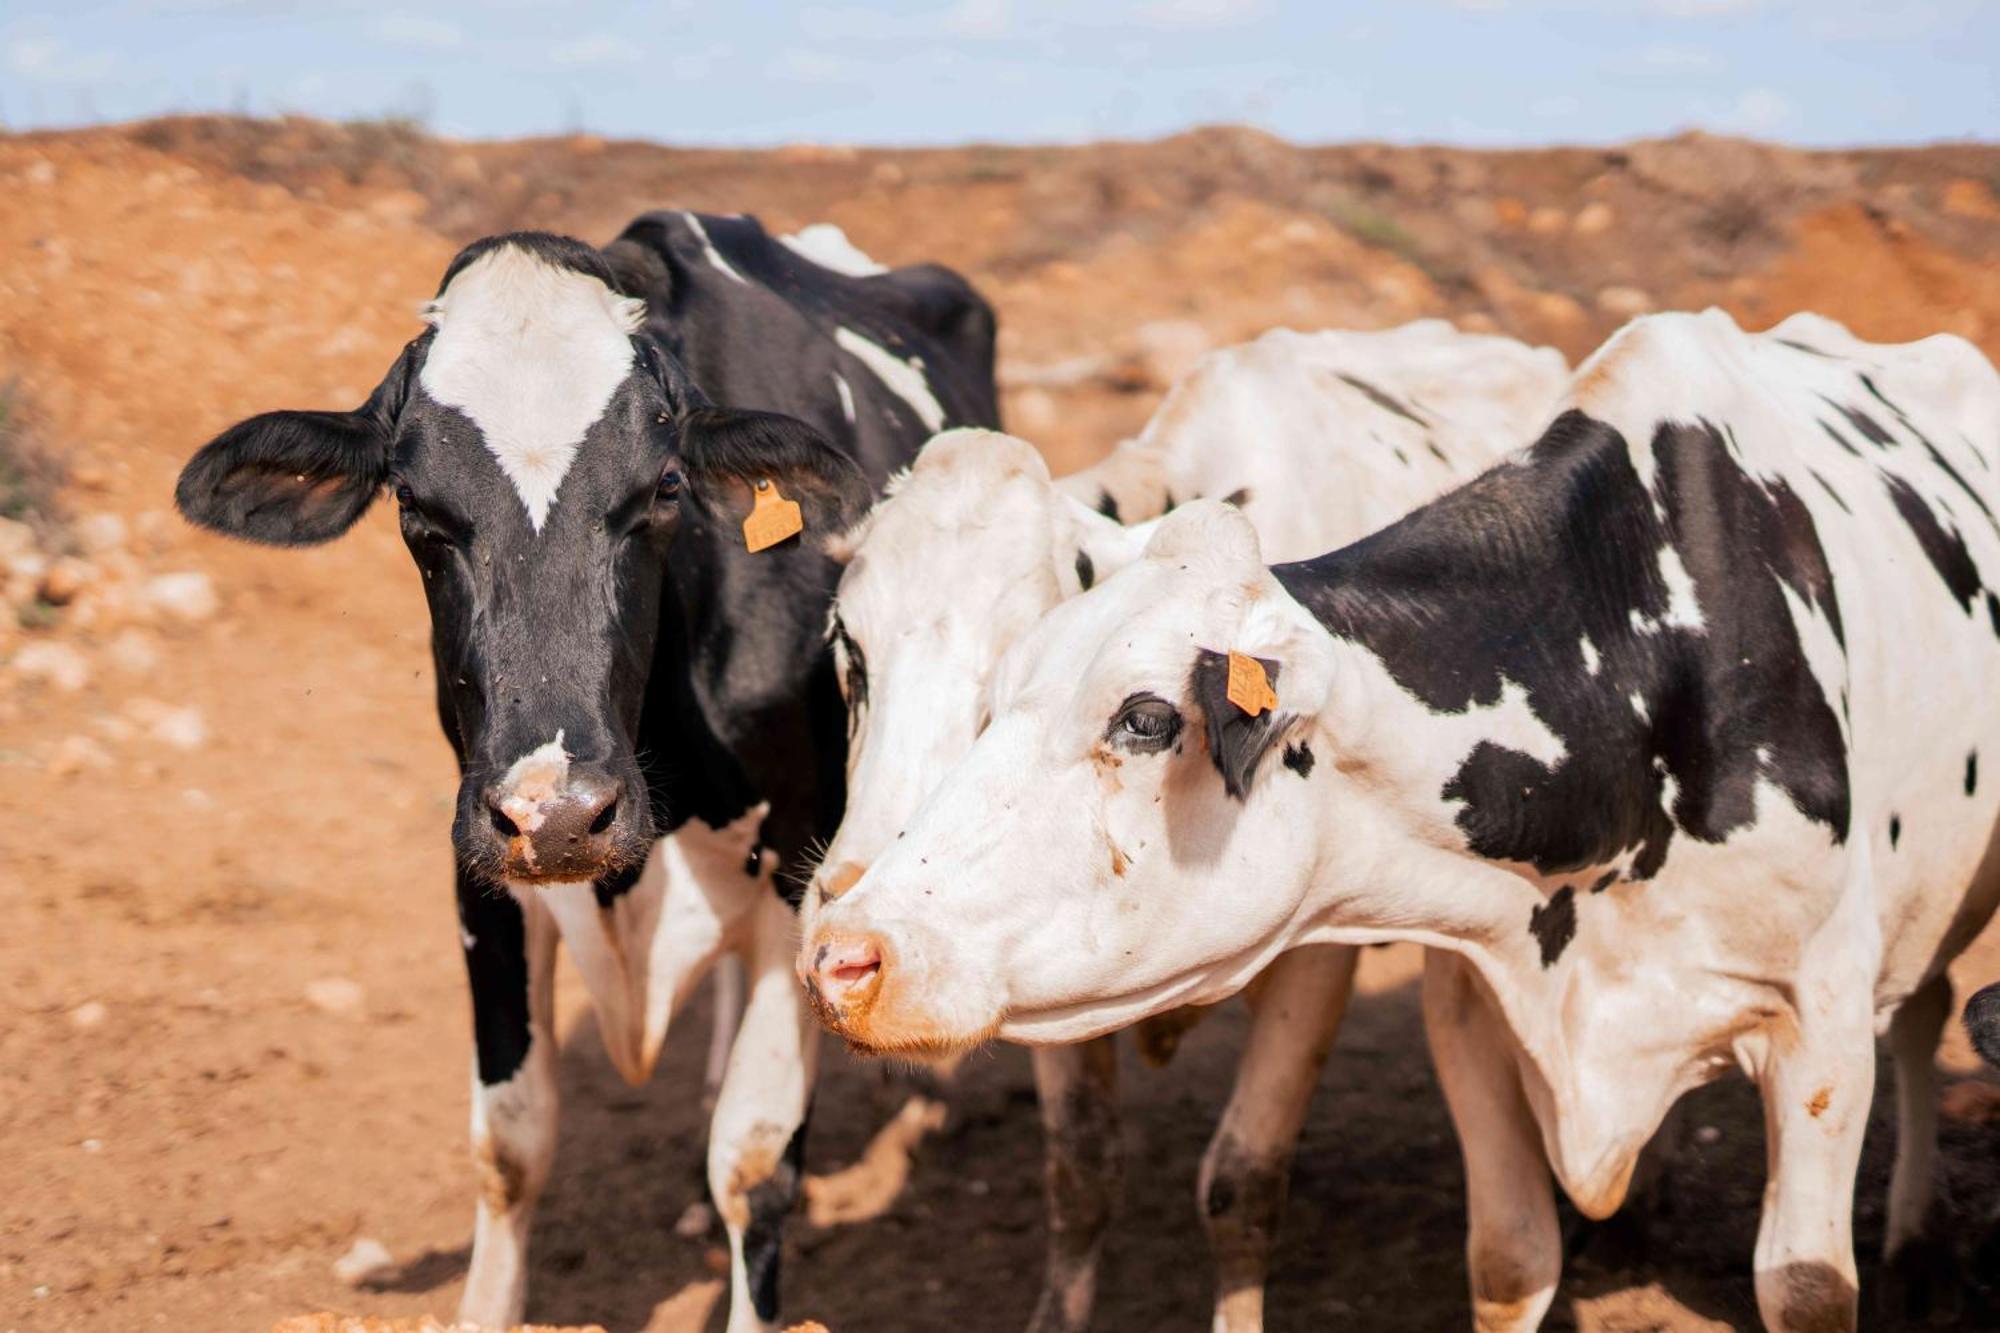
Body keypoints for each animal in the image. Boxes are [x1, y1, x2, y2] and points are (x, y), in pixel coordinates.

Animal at [804, 314, 2000, 1328]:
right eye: (846, 650)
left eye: (1144, 717)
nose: (842, 949)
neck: (1637, 669)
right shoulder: (1472, 1007)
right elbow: (1504, 1258)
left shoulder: (1816, 1032)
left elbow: (1805, 1286)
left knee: (1925, 1012)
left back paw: (1917, 1240)